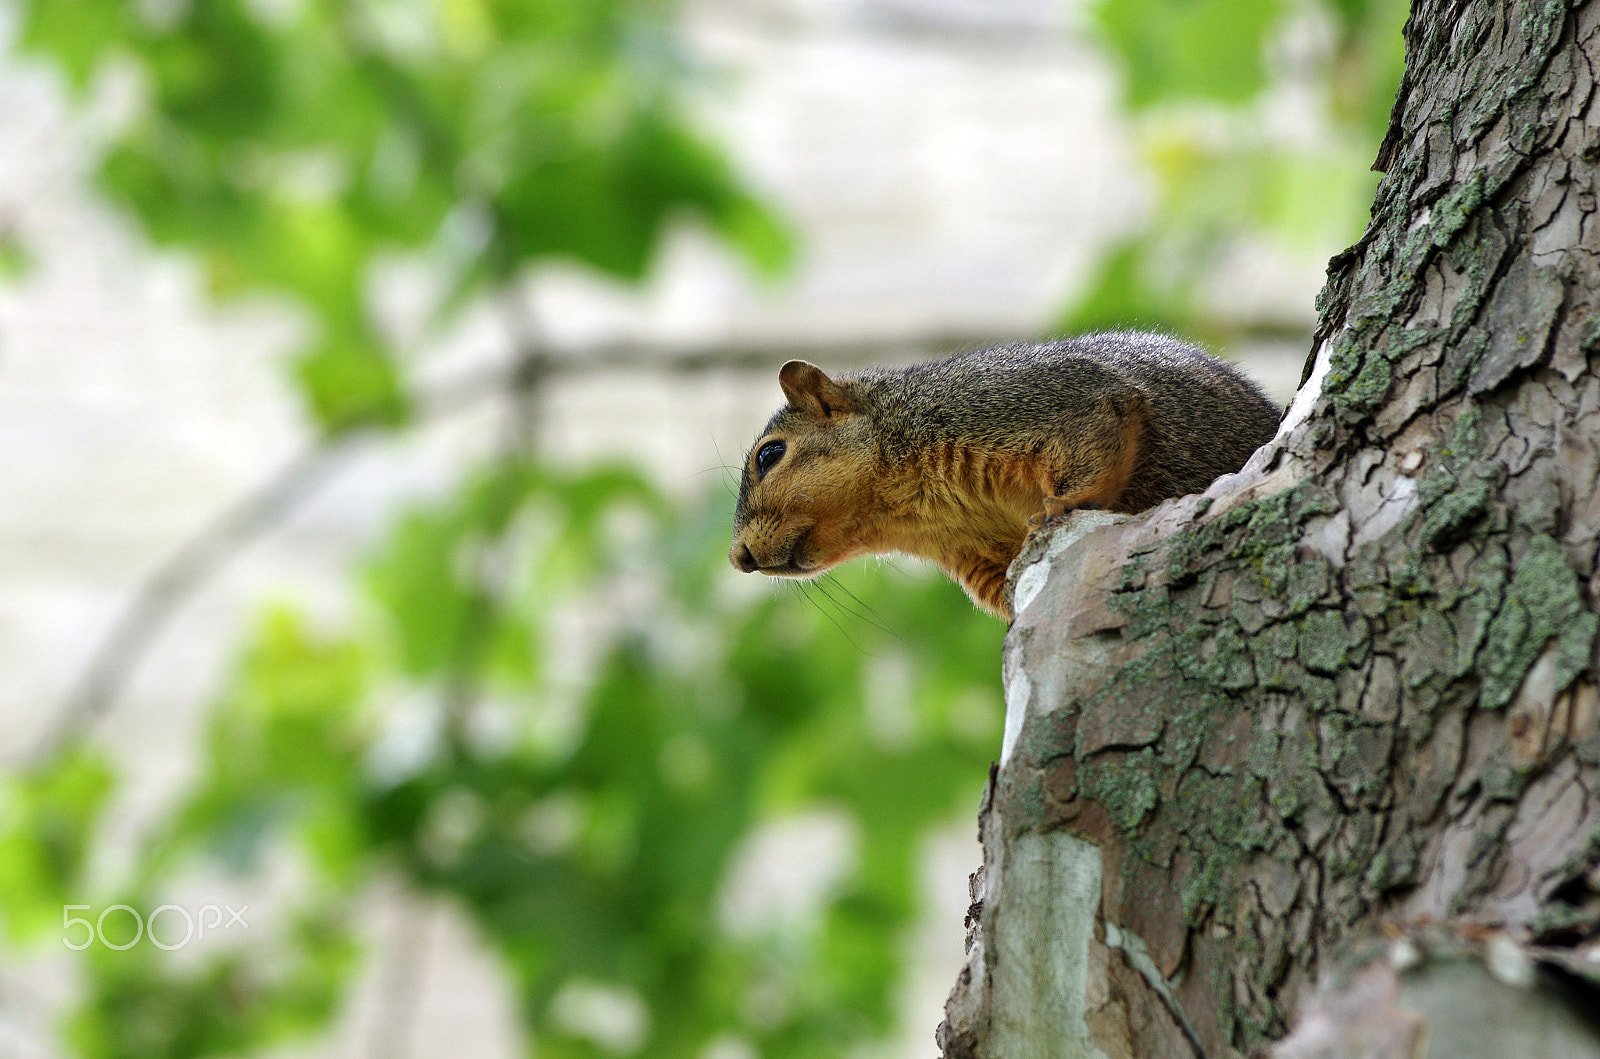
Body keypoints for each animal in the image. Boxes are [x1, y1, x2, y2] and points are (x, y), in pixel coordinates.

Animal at [732, 332, 1280, 623]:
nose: (739, 558)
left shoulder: (1028, 401)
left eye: (770, 455)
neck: (913, 508)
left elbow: (1096, 441)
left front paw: (1060, 506)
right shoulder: (975, 552)